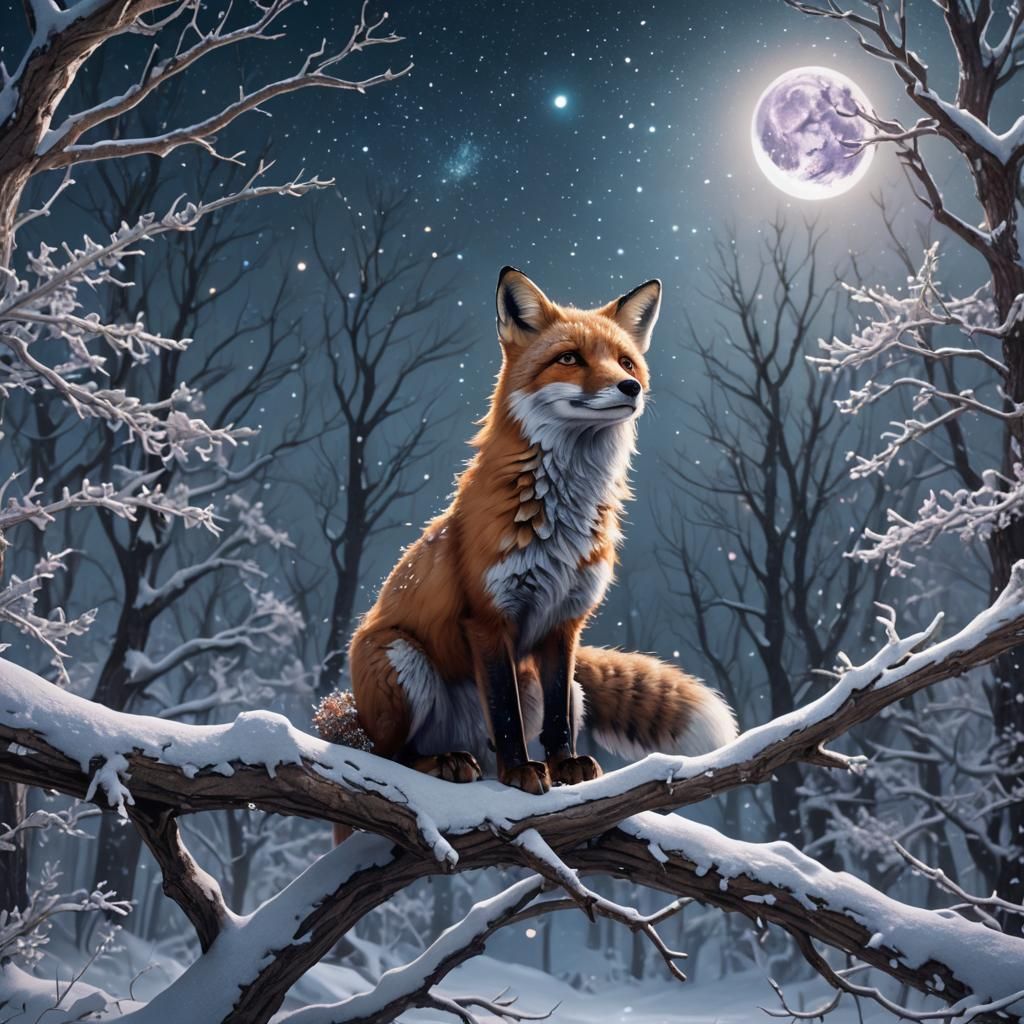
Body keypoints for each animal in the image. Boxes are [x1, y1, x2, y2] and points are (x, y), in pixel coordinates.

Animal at [345, 267, 738, 799]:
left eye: (625, 361)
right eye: (569, 358)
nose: (630, 386)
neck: (559, 520)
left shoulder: (564, 621)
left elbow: (556, 720)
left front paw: (563, 766)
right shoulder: (487, 618)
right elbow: (504, 713)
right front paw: (521, 773)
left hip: (554, 685)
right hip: (400, 657)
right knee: (390, 755)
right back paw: (446, 761)